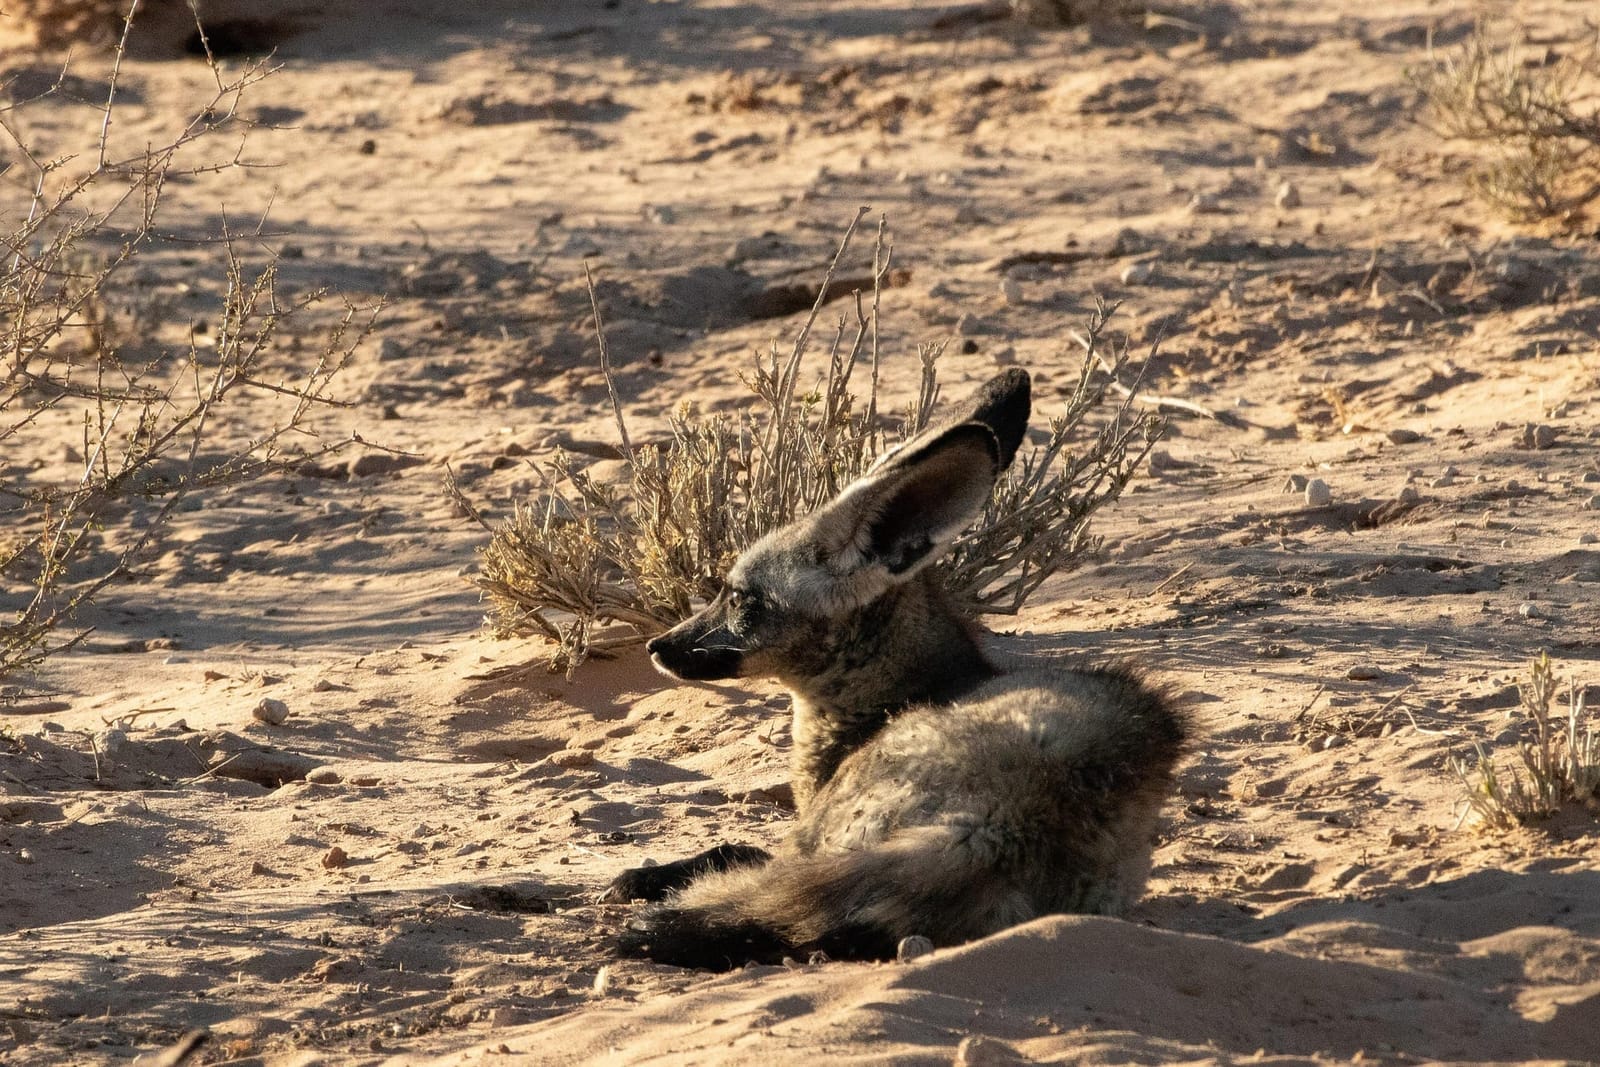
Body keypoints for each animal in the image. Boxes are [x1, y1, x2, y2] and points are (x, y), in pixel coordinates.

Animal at [602, 368, 1188, 970]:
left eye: (742, 599)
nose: (658, 647)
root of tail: (1006, 825)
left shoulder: (806, 833)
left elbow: (735, 850)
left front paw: (647, 877)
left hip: (831, 835)